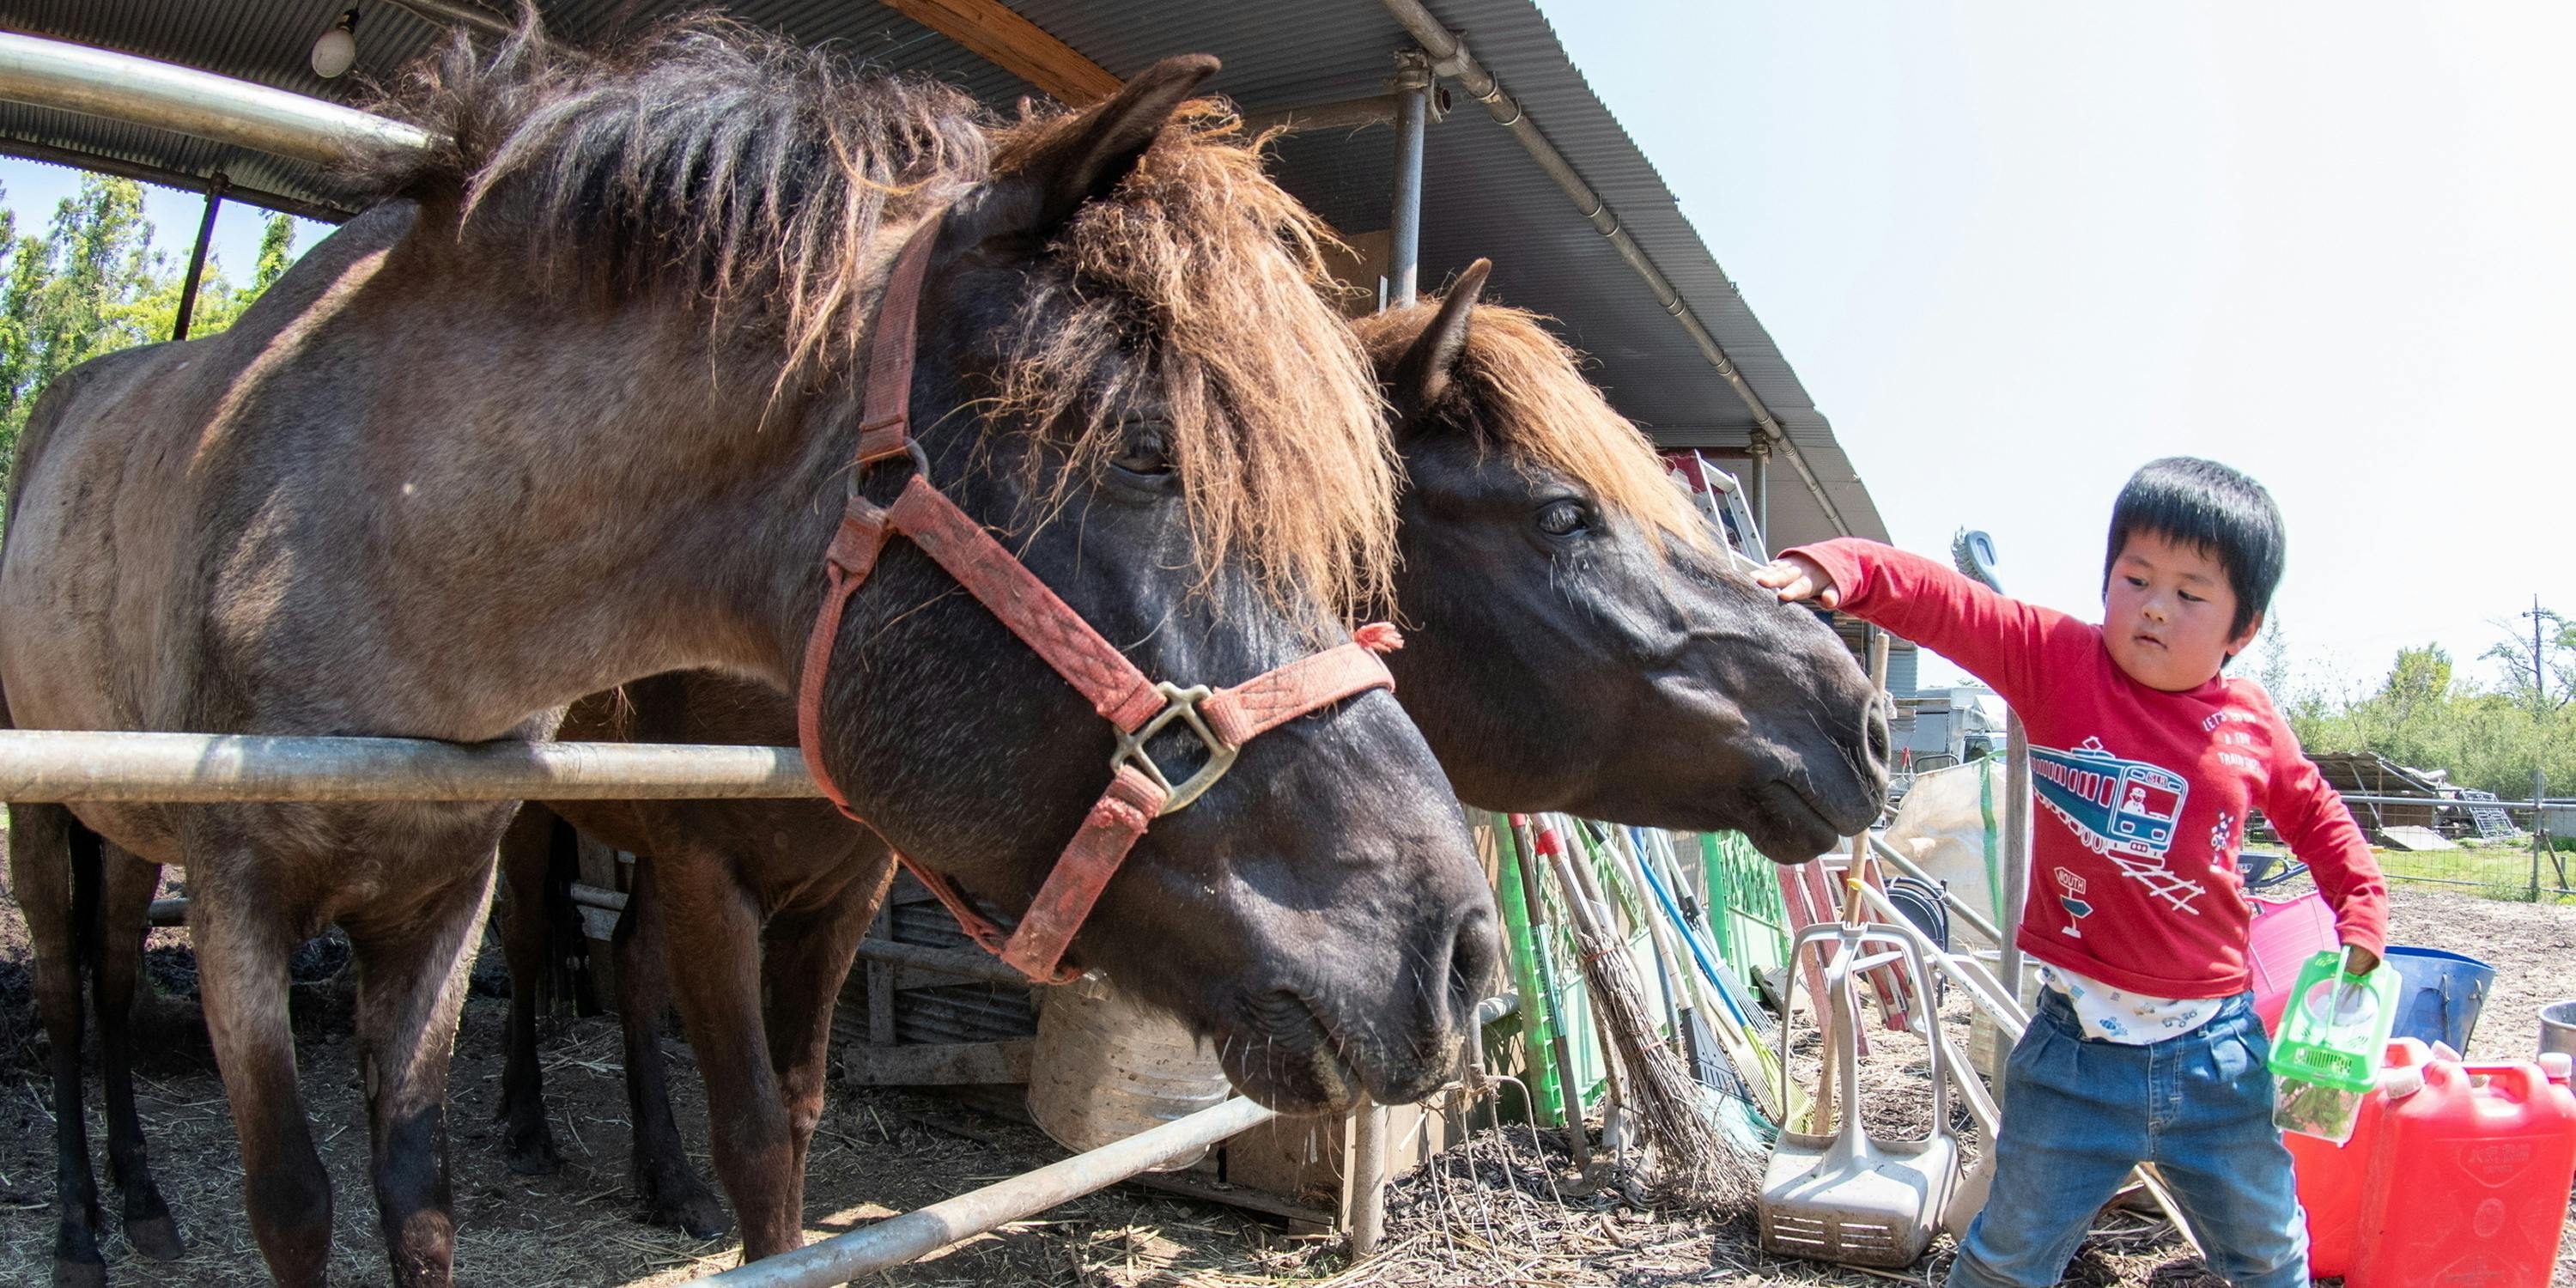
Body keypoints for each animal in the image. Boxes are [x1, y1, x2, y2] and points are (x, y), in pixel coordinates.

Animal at [4, 22, 1494, 1288]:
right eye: (1138, 451)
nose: (1465, 949)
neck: (345, 543)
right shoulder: (253, 902)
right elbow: (302, 1201)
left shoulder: (460, 898)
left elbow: (432, 1193)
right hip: (69, 825)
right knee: (85, 1001)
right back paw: (100, 1218)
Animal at [487, 258, 1896, 1247]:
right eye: (1563, 514)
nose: (1859, 715)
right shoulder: (708, 873)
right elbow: (761, 1146)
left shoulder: (841, 888)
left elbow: (793, 1109)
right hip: (530, 824)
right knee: (532, 950)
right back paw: (522, 1129)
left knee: (620, 964)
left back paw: (654, 1178)